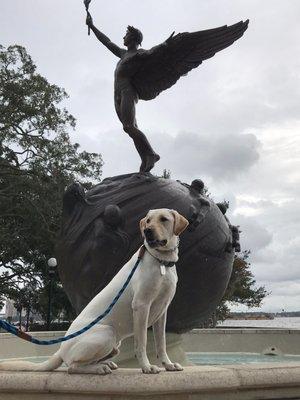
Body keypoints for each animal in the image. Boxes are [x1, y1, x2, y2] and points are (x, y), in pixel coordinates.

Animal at [0, 209, 188, 376]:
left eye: (164, 219)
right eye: (148, 221)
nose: (147, 231)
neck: (161, 261)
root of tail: (60, 350)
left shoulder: (162, 311)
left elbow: (161, 343)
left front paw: (168, 365)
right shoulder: (141, 306)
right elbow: (141, 342)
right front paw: (147, 367)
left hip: (115, 344)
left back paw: (106, 364)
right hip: (107, 333)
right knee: (72, 367)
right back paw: (99, 368)